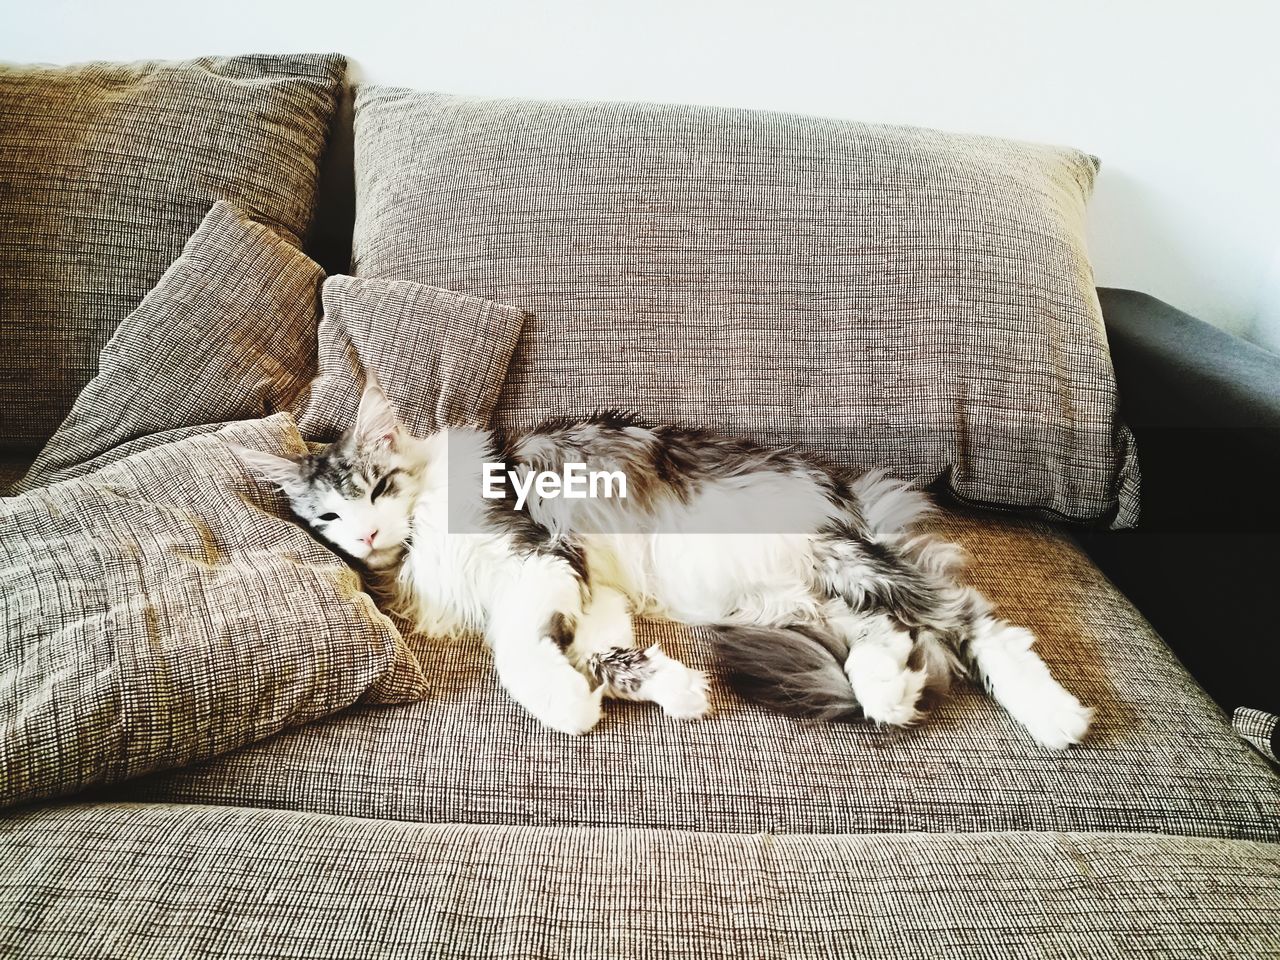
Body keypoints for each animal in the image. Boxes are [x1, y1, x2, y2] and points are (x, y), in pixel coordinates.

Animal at [235, 378, 1095, 747]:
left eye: (378, 487)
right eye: (329, 518)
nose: (365, 538)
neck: (417, 547)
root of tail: (851, 488)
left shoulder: (540, 559)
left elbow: (517, 657)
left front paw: (562, 705)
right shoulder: (590, 590)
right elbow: (610, 655)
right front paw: (674, 690)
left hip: (837, 562)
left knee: (978, 624)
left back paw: (1055, 717)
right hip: (795, 597)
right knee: (892, 638)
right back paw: (891, 691)